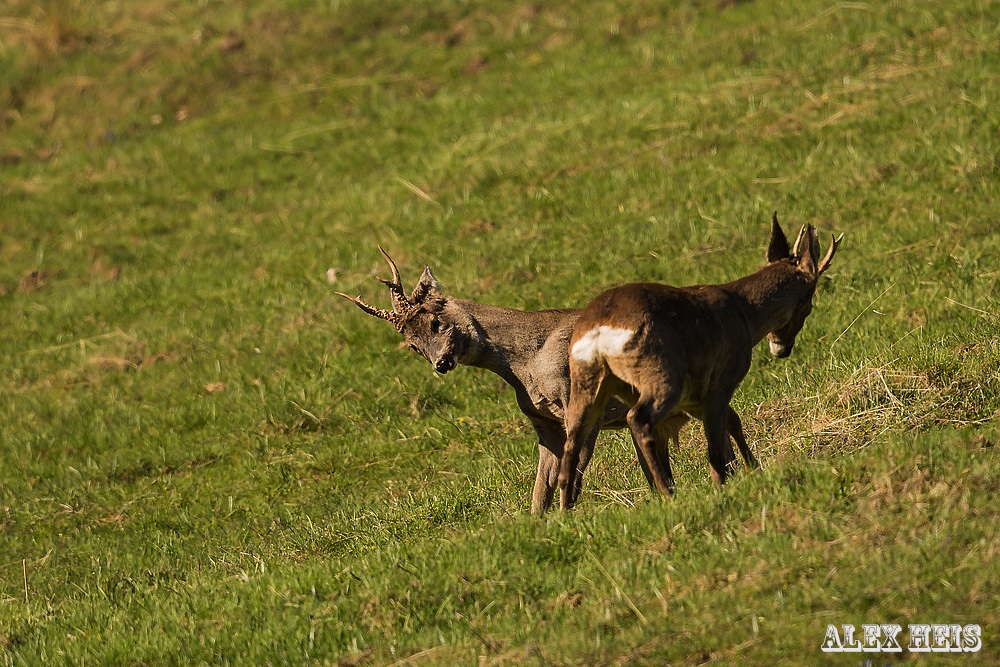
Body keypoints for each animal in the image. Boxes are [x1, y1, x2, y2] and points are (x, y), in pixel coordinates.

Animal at [336, 248, 752, 516]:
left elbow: (574, 471)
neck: (529, 363)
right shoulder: (543, 422)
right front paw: (541, 525)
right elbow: (540, 491)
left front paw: (569, 517)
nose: (441, 363)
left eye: (436, 320)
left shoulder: (575, 404)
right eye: (411, 344)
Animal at [560, 214, 840, 512]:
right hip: (662, 372)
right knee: (638, 418)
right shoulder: (722, 378)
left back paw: (565, 509)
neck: (745, 314)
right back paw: (667, 493)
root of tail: (600, 330)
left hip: (586, 380)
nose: (783, 349)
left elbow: (733, 421)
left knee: (571, 441)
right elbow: (716, 446)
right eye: (808, 303)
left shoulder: (695, 397)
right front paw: (724, 486)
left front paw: (753, 469)